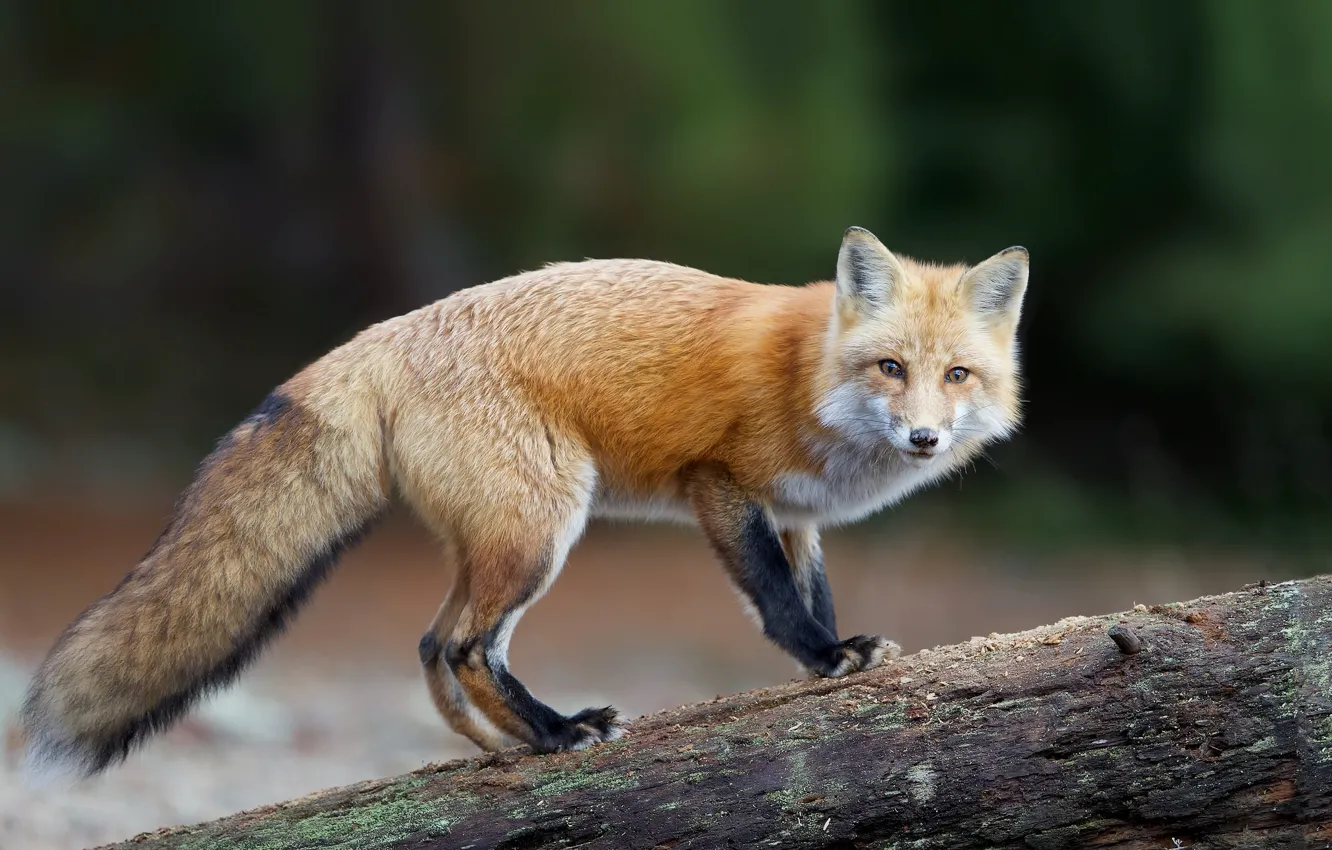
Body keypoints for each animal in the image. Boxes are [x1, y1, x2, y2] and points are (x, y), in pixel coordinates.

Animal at [20, 226, 1028, 778]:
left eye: (956, 376)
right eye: (890, 368)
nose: (925, 439)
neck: (807, 377)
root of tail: (381, 335)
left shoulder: (797, 517)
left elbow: (812, 591)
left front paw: (835, 651)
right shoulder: (721, 485)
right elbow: (778, 602)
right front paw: (822, 658)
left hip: (499, 541)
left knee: (432, 645)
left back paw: (504, 747)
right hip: (542, 529)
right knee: (466, 645)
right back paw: (554, 734)